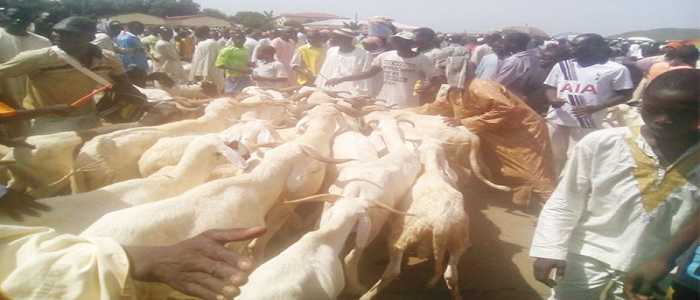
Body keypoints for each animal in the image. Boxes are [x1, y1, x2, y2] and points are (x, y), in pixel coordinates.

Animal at [360, 140, 470, 300]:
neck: (432, 170)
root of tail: (441, 224)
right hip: (459, 239)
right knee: (451, 275)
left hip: (406, 232)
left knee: (394, 269)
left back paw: (367, 294)